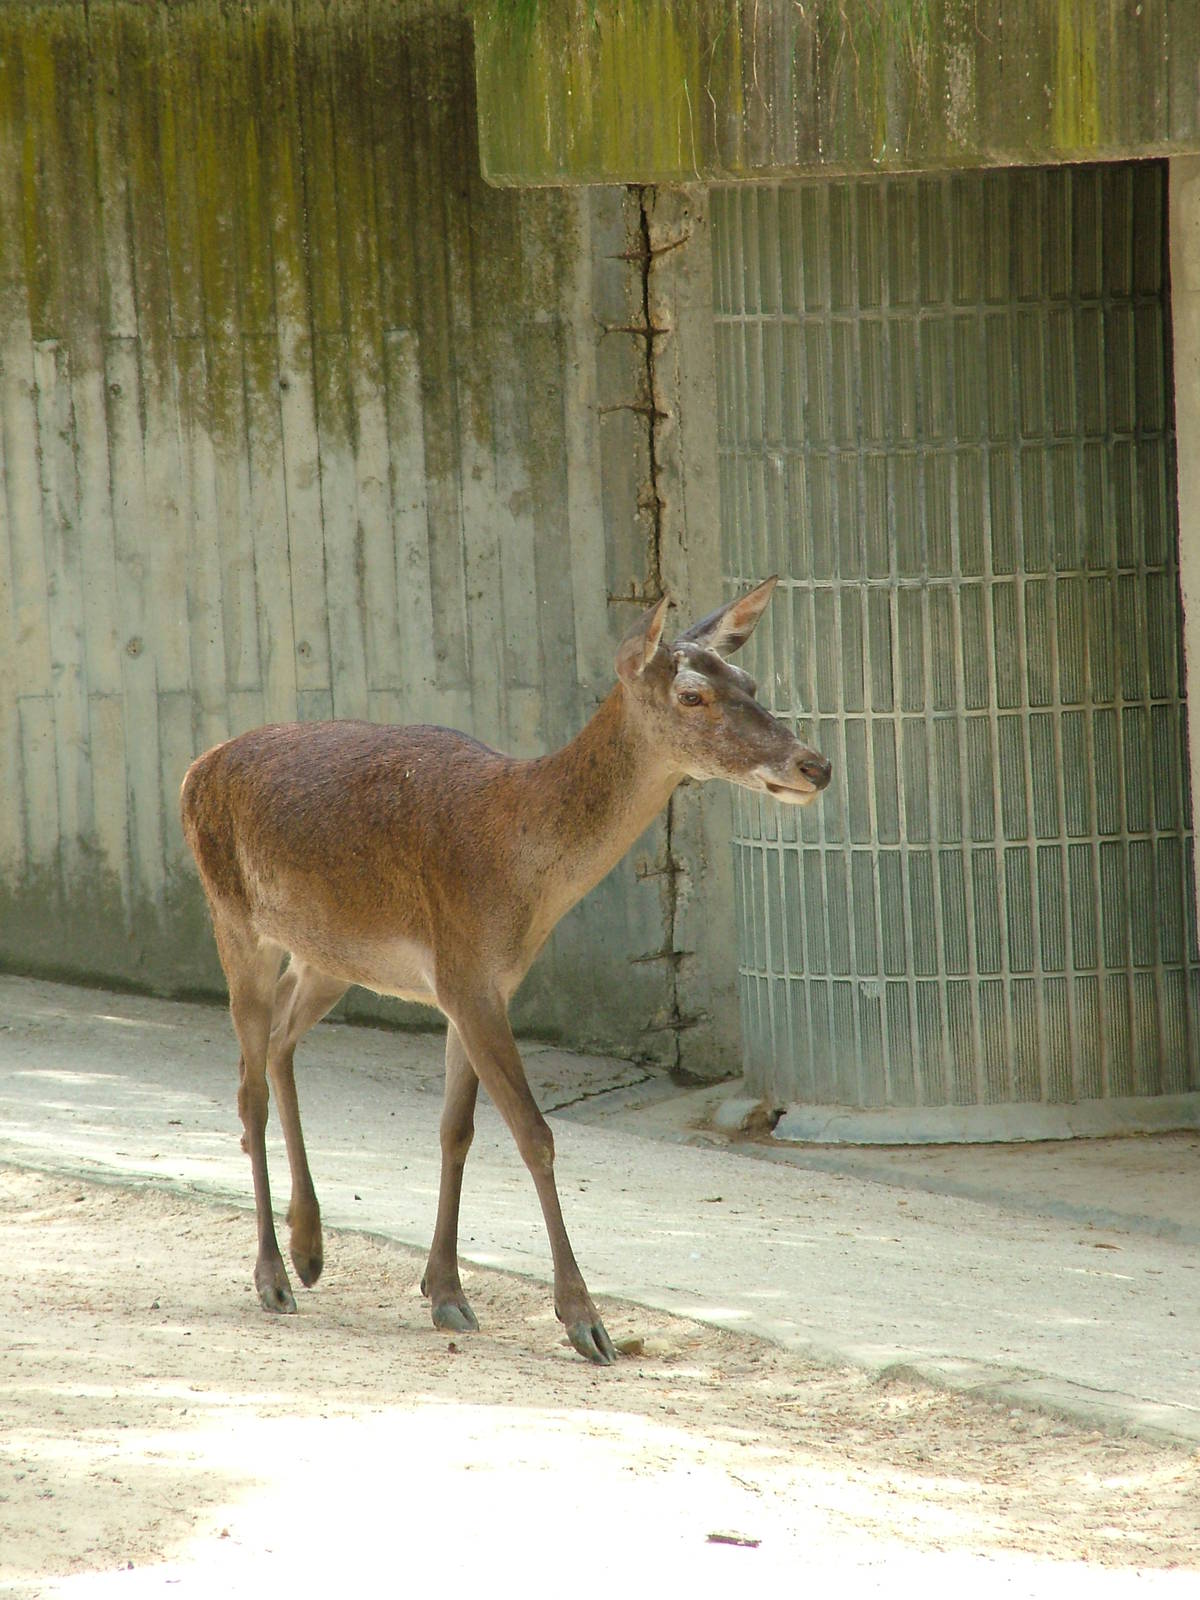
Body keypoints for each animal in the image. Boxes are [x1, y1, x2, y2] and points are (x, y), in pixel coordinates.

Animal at [180, 576, 831, 1364]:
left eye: (751, 681)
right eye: (692, 696)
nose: (816, 765)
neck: (518, 874)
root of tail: (194, 767)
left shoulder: (479, 984)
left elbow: (455, 1129)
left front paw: (445, 1292)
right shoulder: (466, 975)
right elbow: (534, 1133)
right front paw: (585, 1322)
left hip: (331, 953)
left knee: (278, 1041)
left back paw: (311, 1249)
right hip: (233, 915)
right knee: (247, 1086)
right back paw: (273, 1277)